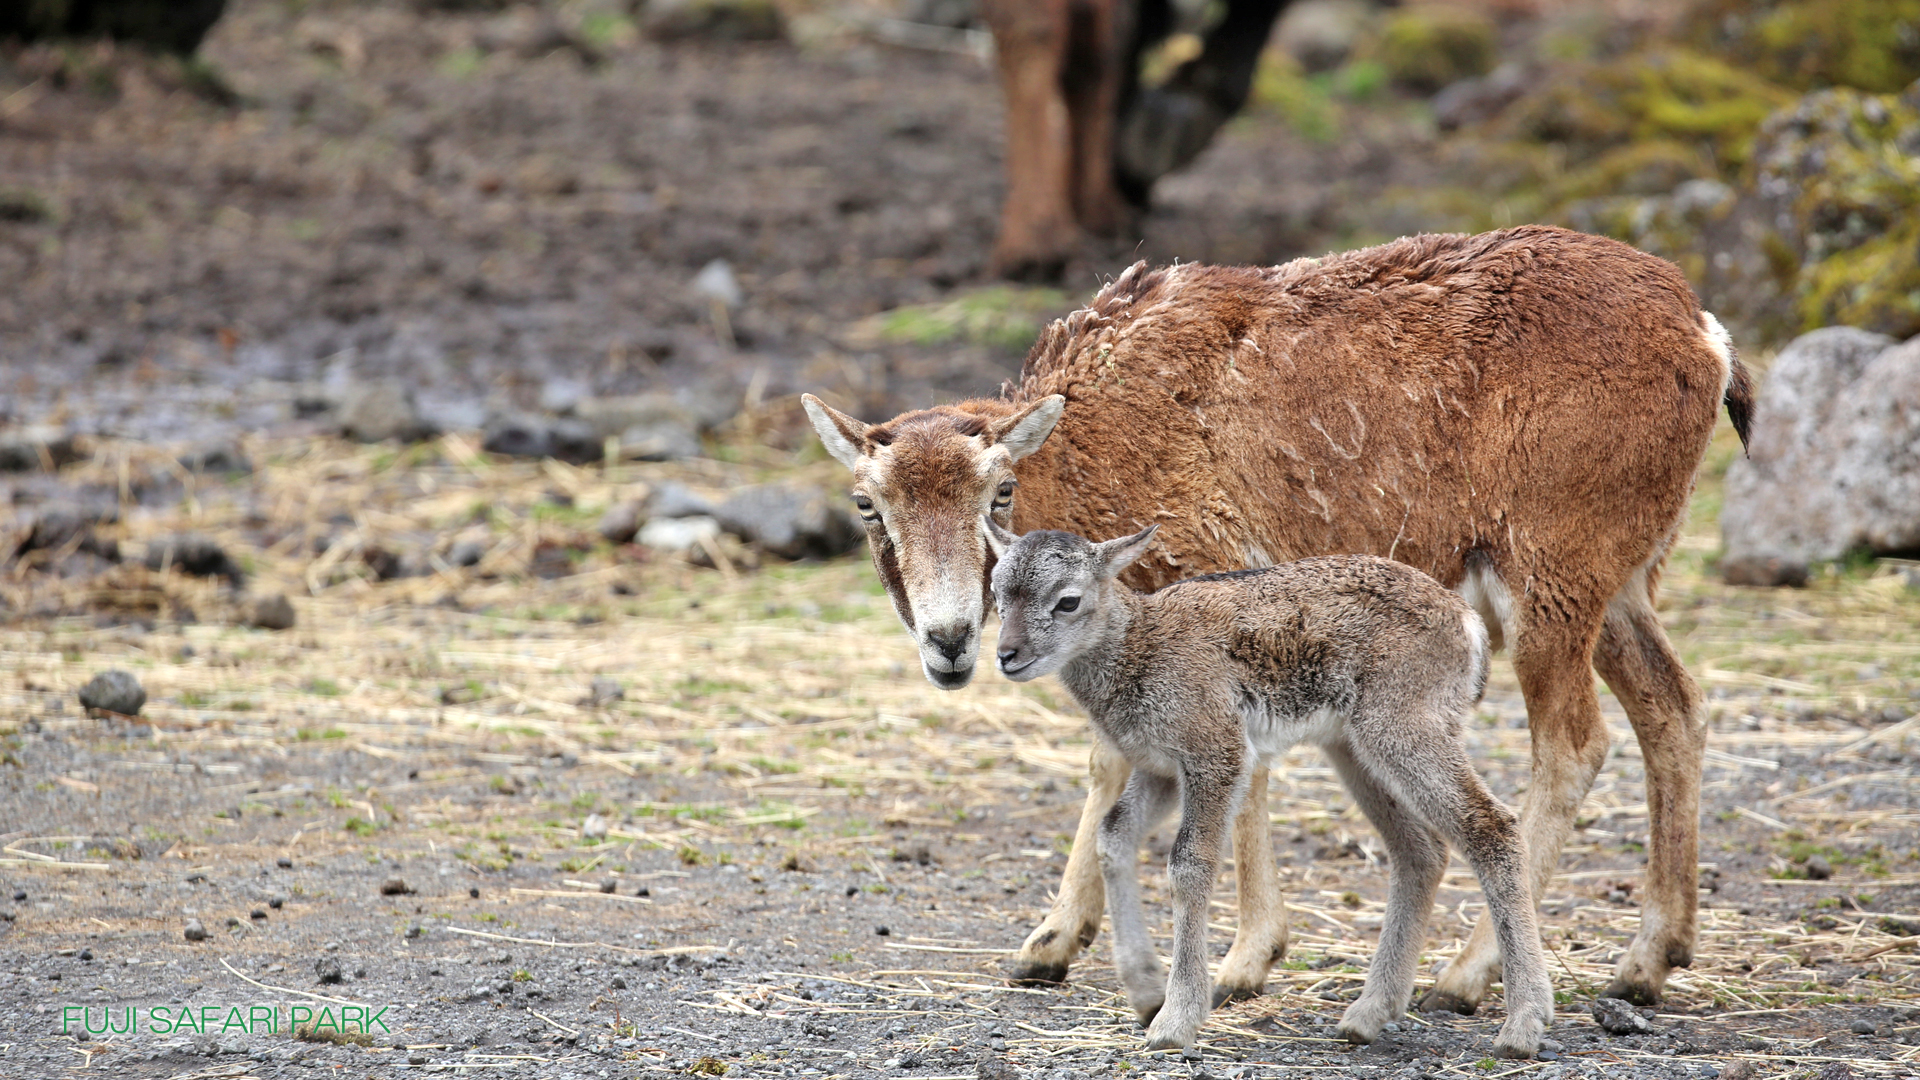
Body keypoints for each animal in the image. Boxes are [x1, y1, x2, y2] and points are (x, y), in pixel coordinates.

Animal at [983, 518, 1551, 1053]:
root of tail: (1466, 620)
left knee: (1491, 826)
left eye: (1068, 600)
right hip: (1353, 748)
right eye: (997, 592)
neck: (1141, 645)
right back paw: (1367, 1016)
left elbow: (1188, 864)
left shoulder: (1217, 754)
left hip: (1403, 728)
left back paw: (1522, 1024)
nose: (1007, 655)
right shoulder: (1160, 768)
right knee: (1420, 851)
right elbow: (1113, 837)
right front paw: (1145, 995)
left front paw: (1174, 1021)